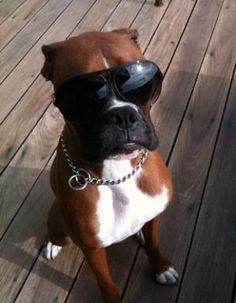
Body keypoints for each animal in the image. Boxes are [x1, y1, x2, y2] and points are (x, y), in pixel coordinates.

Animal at [41, 29, 177, 303]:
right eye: (83, 96)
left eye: (139, 84)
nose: (122, 114)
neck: (117, 174)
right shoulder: (92, 249)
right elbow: (107, 285)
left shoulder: (155, 215)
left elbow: (154, 244)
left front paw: (161, 268)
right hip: (59, 220)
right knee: (55, 232)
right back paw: (52, 244)